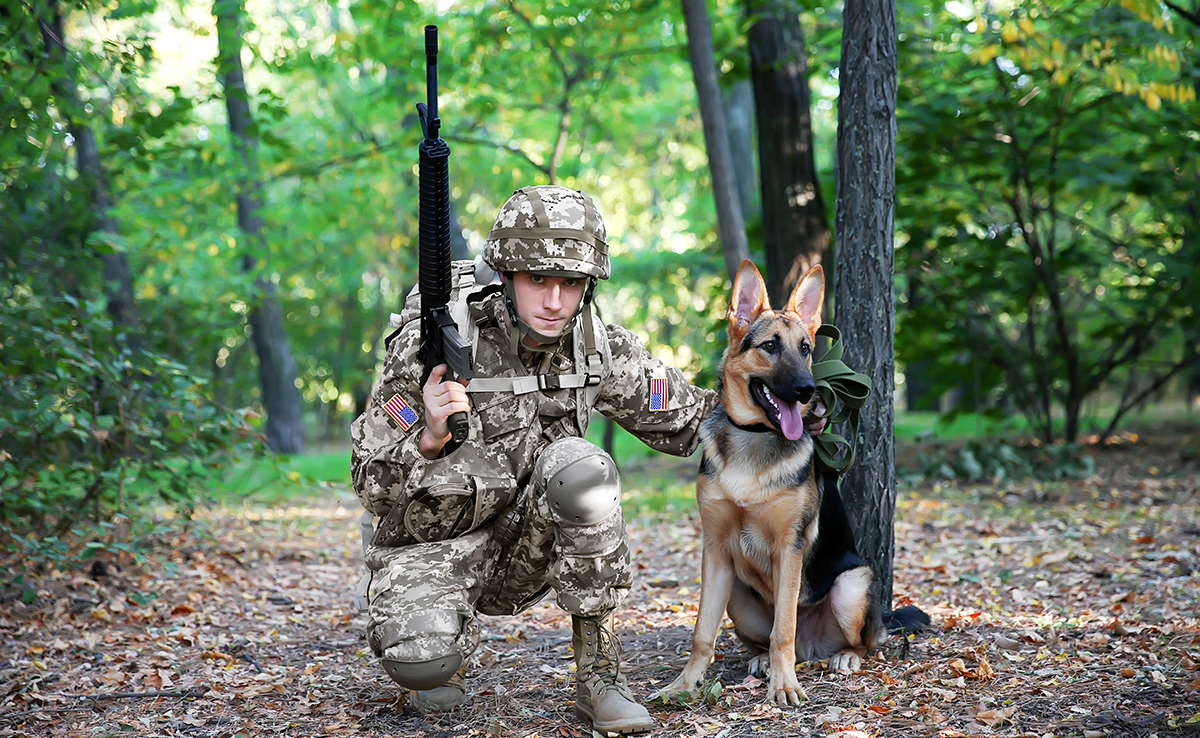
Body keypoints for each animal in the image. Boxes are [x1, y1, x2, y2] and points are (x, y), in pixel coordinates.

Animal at [652, 262, 921, 705]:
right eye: (770, 346)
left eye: (806, 348)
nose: (808, 390)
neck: (755, 437)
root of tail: (814, 648)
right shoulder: (716, 550)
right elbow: (702, 633)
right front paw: (684, 685)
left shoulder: (789, 549)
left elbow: (784, 628)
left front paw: (785, 685)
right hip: (738, 593)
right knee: (764, 639)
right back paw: (762, 660)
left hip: (851, 586)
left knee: (865, 642)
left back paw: (844, 656)